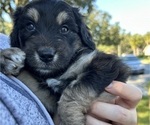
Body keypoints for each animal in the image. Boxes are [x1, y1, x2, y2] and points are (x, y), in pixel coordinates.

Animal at [0, 0, 130, 124]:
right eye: (30, 26)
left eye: (64, 29)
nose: (46, 55)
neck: (57, 72)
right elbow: (28, 79)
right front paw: (7, 57)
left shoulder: (106, 65)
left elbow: (75, 90)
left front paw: (71, 120)